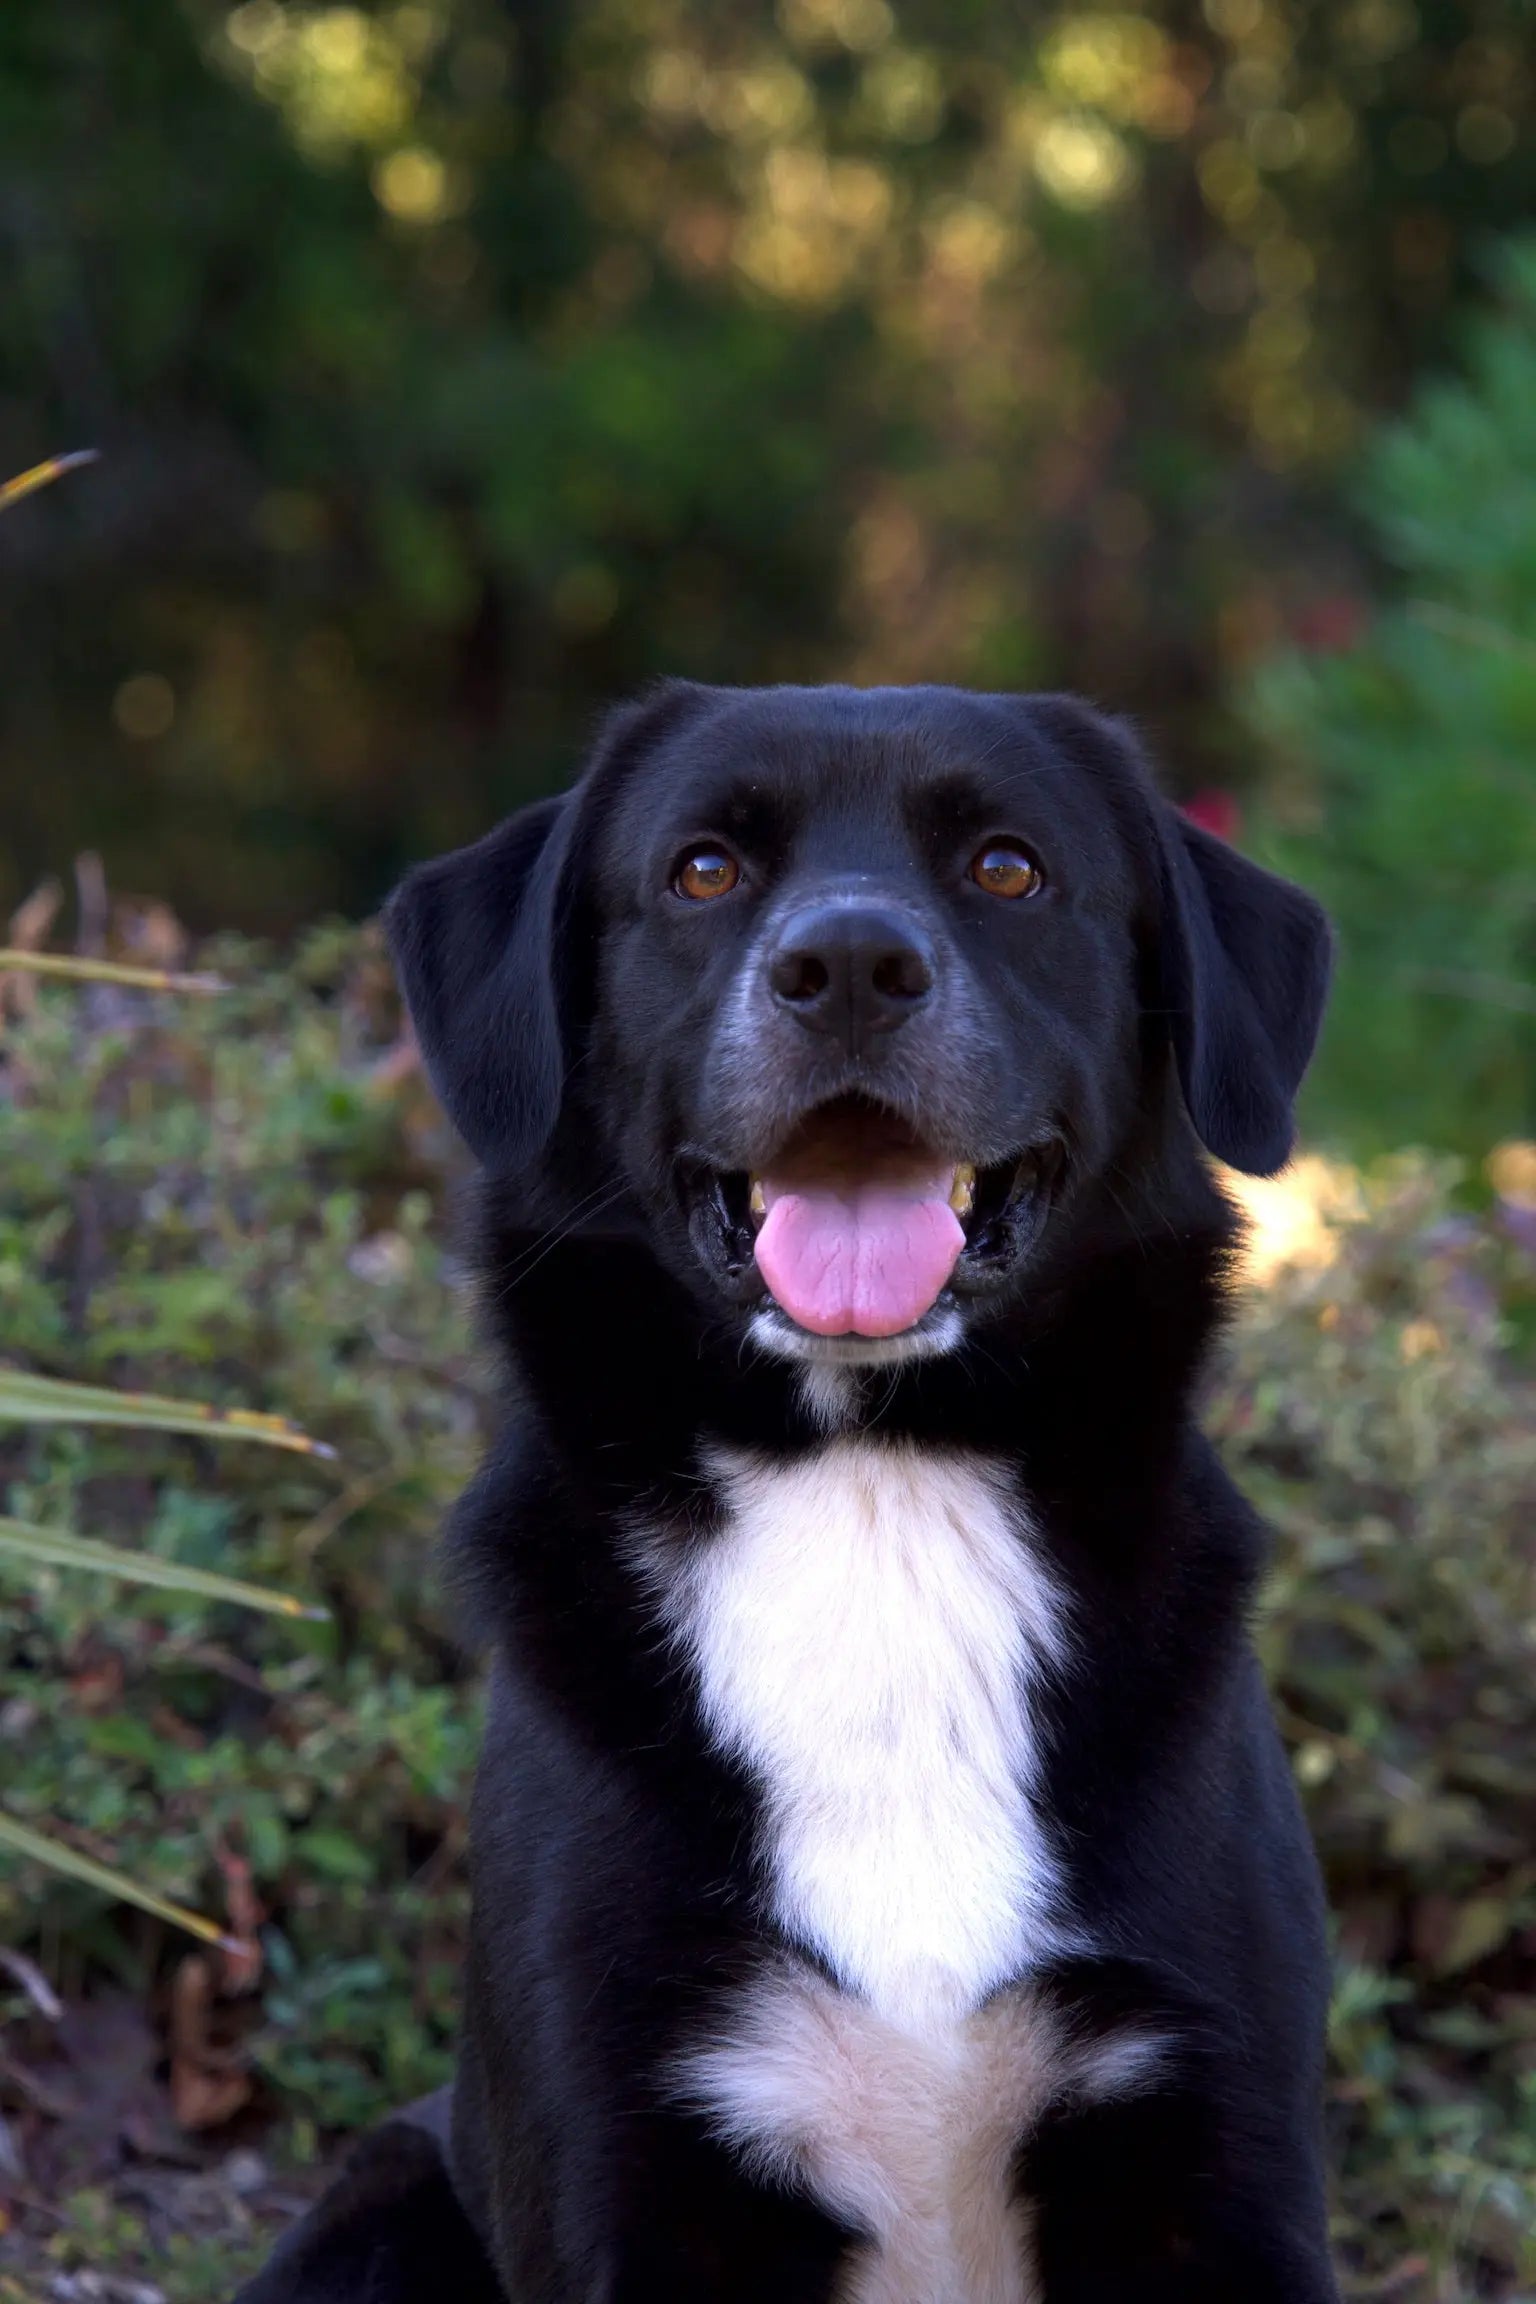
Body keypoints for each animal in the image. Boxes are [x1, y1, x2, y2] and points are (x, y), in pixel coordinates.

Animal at [234, 681, 1335, 2304]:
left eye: (1009, 868)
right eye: (703, 871)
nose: (853, 969)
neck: (870, 1479)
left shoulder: (1217, 2159)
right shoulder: (627, 2161)